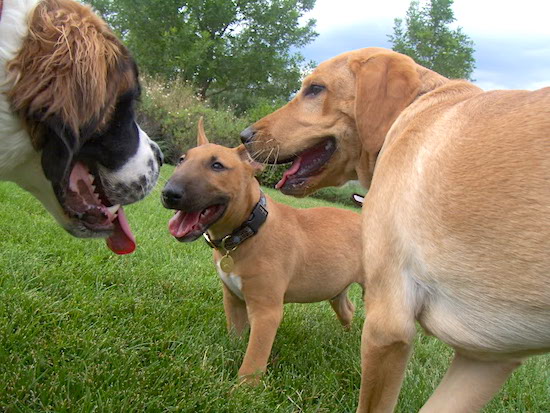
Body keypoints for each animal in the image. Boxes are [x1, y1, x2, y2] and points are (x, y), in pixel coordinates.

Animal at [162, 120, 364, 384]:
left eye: (217, 166)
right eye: (181, 160)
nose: (169, 194)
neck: (248, 230)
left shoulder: (266, 311)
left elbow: (254, 356)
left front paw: (244, 388)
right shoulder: (233, 299)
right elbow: (236, 336)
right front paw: (230, 352)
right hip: (335, 288)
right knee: (347, 309)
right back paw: (346, 338)